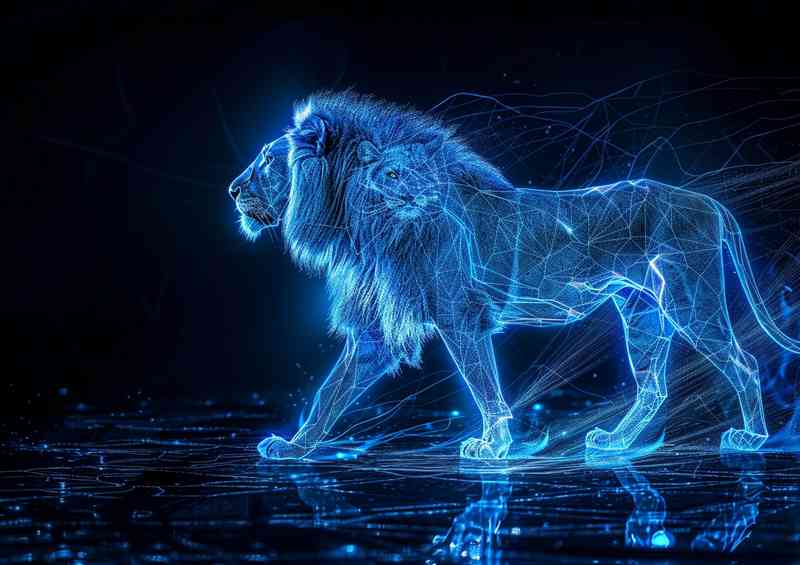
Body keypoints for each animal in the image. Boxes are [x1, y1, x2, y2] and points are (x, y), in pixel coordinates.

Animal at [229, 91, 800, 460]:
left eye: (267, 163)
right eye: (388, 174)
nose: (233, 189)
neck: (370, 226)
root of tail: (709, 202)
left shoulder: (460, 317)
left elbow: (483, 385)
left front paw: (493, 447)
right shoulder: (376, 332)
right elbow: (332, 391)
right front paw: (294, 447)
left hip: (689, 298)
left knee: (744, 362)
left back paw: (750, 439)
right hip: (641, 310)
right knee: (653, 386)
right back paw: (614, 443)